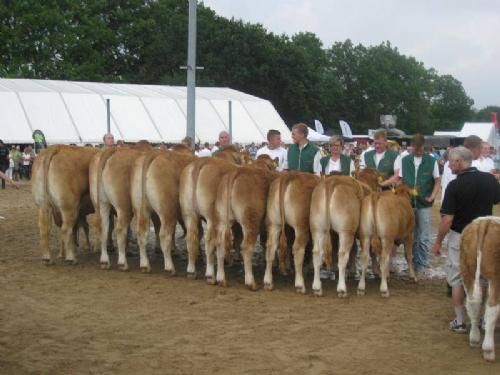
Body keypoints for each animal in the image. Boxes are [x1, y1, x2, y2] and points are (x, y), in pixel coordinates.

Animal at [460, 219, 500, 362]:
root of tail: (485, 222)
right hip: (495, 276)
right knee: (492, 307)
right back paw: (488, 350)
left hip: (467, 269)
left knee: (473, 303)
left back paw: (474, 339)